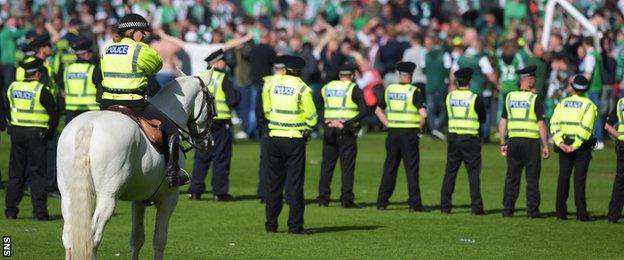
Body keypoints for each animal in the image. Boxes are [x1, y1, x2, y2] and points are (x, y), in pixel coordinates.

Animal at [58, 74, 214, 258]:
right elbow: (159, 240)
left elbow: (137, 238)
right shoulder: (168, 199)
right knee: (93, 237)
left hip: (68, 194)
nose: (209, 142)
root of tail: (89, 126)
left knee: (69, 236)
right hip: (108, 197)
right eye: (211, 102)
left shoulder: (139, 199)